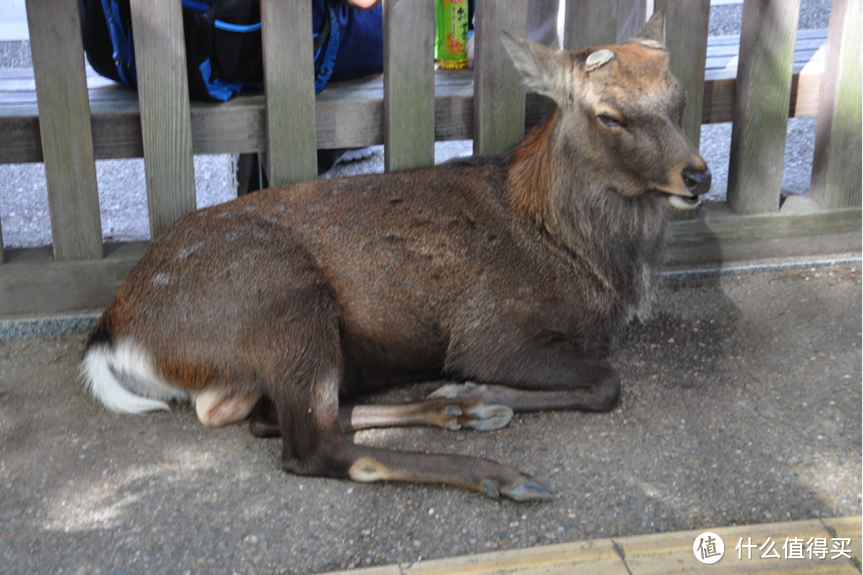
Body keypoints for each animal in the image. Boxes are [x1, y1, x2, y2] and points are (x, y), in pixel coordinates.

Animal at [84, 11, 712, 502]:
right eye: (609, 114)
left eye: (680, 99)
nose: (698, 176)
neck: (584, 261)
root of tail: (114, 331)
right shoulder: (489, 332)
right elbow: (608, 382)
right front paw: (476, 389)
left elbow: (603, 381)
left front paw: (471, 396)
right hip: (285, 296)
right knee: (314, 448)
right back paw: (499, 471)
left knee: (267, 417)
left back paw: (460, 413)